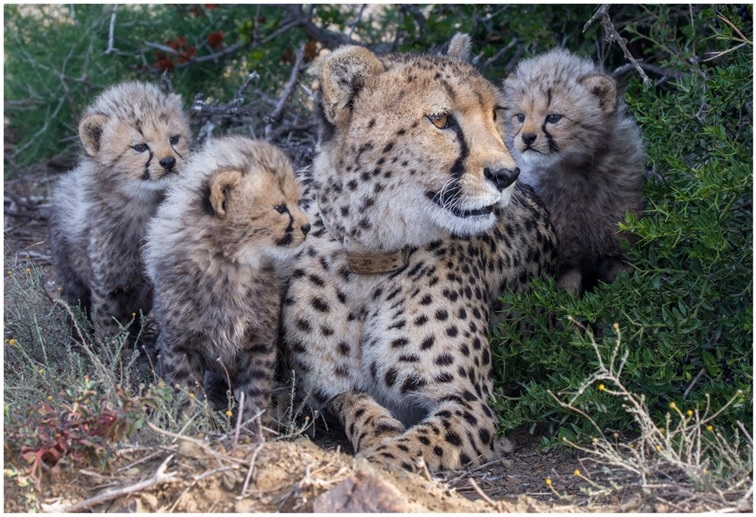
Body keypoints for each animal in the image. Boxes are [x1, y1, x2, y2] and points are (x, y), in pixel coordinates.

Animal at [49, 81, 191, 340]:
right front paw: (115, 351)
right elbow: (110, 330)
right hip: (69, 275)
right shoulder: (107, 287)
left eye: (174, 139)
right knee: (74, 308)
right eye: (140, 147)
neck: (144, 203)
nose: (168, 162)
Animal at [143, 136, 310, 419]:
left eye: (298, 201)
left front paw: (251, 428)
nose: (307, 227)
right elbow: (186, 394)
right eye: (279, 208)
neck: (229, 265)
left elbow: (255, 393)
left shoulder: (259, 343)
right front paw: (192, 424)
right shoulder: (180, 346)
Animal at [281, 34, 558, 473]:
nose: (507, 175)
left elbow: (404, 451)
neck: (372, 257)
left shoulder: (471, 404)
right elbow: (357, 405)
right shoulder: (324, 392)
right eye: (441, 121)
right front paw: (377, 432)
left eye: (495, 114)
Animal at [502, 48, 646, 294]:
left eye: (553, 117)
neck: (577, 172)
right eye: (520, 117)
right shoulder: (562, 263)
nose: (527, 138)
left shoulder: (619, 250)